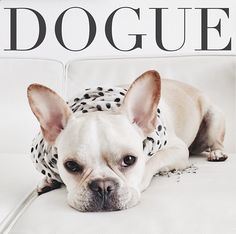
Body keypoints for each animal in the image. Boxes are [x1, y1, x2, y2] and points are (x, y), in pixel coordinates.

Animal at [27, 70, 227, 211]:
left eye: (129, 160)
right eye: (71, 166)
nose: (103, 186)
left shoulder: (177, 149)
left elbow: (152, 162)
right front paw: (48, 180)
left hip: (214, 116)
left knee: (216, 140)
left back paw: (217, 152)